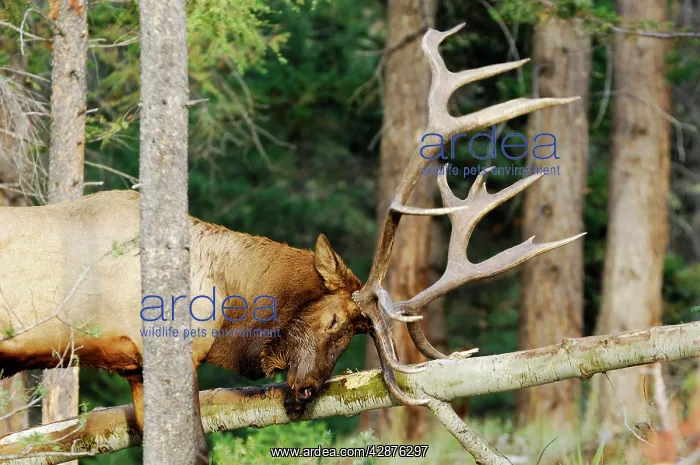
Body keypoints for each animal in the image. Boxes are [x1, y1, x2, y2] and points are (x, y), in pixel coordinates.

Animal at [0, 24, 582, 465]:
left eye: (356, 337)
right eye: (333, 321)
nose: (306, 390)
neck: (227, 300)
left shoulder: (136, 368)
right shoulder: (172, 350)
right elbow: (195, 450)